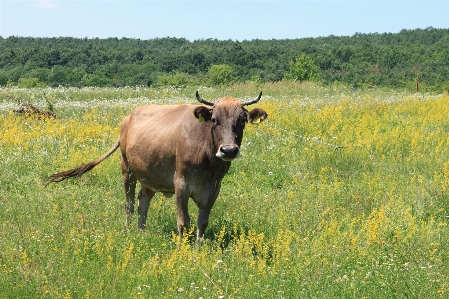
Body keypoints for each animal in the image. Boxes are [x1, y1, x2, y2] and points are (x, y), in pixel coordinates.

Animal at [46, 91, 266, 239]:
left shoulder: (214, 188)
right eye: (214, 119)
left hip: (148, 174)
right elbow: (183, 222)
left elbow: (202, 222)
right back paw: (129, 229)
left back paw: (141, 231)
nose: (228, 150)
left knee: (143, 201)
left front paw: (199, 248)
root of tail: (128, 118)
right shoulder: (181, 184)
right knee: (129, 203)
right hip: (127, 170)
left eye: (242, 120)